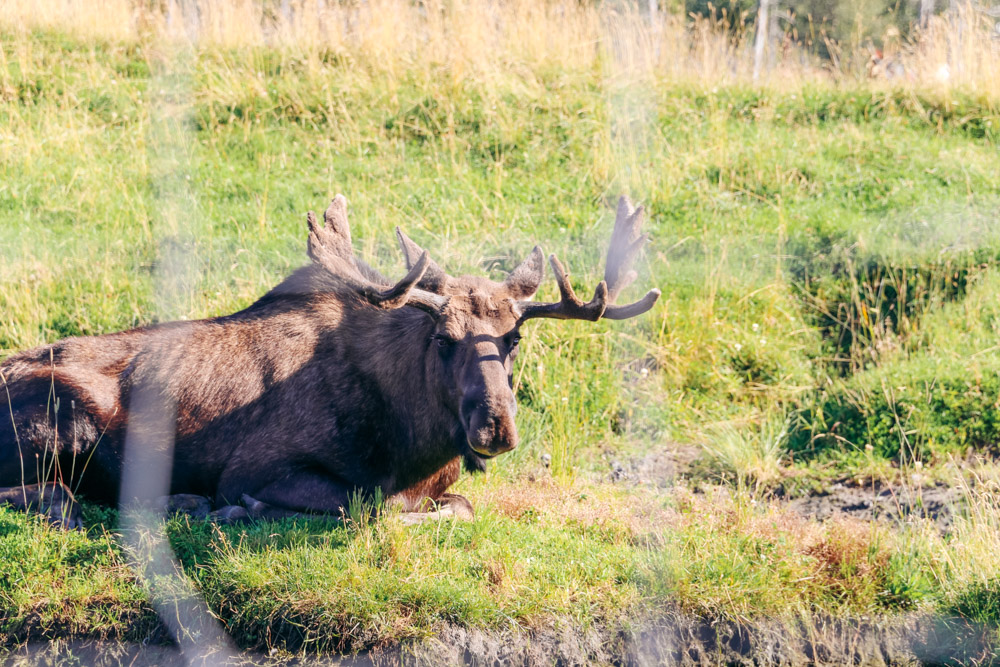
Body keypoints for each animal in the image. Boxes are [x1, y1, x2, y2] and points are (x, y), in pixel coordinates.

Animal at [0, 196, 660, 528]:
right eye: (442, 339)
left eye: (515, 337)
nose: (495, 426)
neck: (413, 444)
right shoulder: (254, 467)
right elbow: (367, 503)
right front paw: (242, 508)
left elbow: (462, 507)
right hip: (63, 414)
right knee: (53, 495)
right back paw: (184, 504)